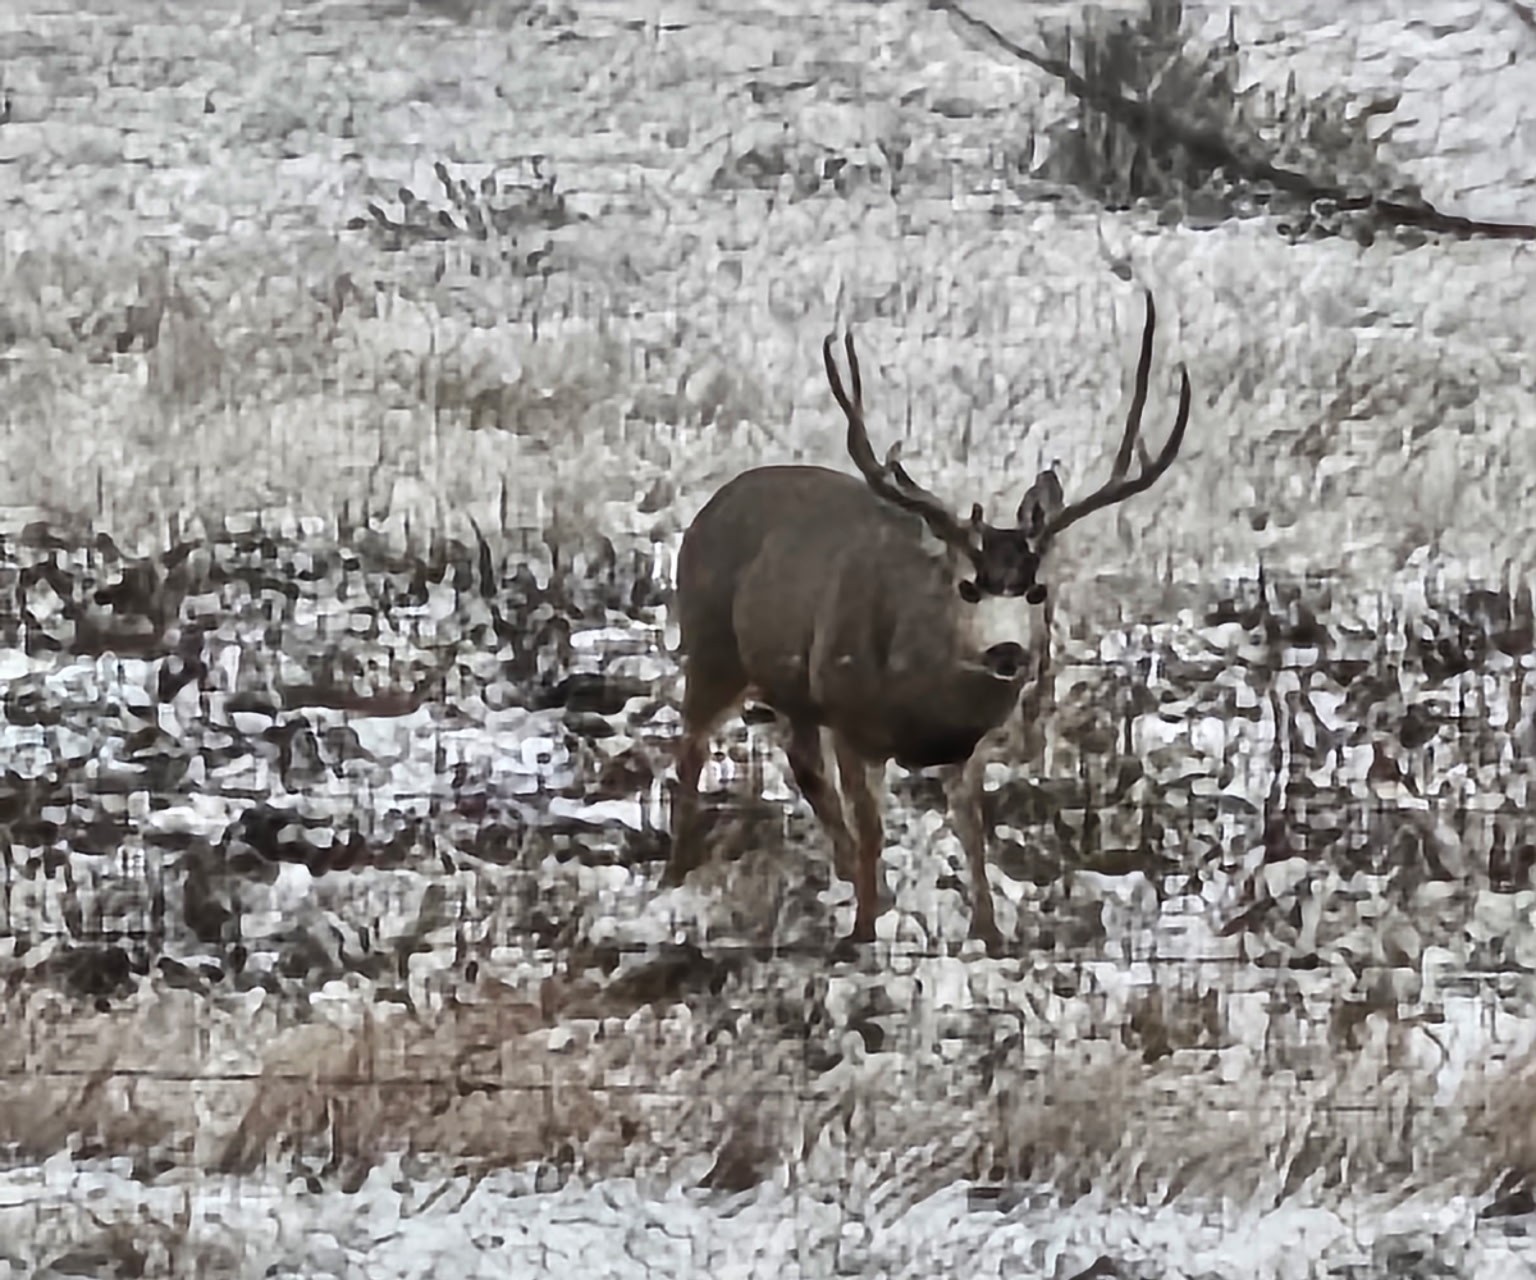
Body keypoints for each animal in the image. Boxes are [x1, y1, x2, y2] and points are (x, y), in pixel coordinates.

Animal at [662, 289, 1191, 956]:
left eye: (1038, 589)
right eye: (968, 586)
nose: (1008, 653)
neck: (919, 699)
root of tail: (713, 503)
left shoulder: (966, 745)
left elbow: (972, 832)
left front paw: (990, 934)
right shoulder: (852, 720)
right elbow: (873, 828)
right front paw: (862, 933)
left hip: (794, 684)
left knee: (800, 761)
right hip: (711, 646)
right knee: (690, 749)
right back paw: (676, 873)